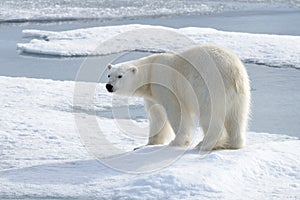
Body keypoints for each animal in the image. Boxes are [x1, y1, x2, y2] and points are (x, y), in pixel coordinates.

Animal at [105, 45, 251, 151]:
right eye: (109, 75)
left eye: (120, 76)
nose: (108, 86)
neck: (150, 71)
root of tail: (233, 72)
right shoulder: (152, 94)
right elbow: (157, 115)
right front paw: (146, 145)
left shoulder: (165, 84)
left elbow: (175, 111)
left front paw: (176, 142)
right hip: (241, 93)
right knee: (237, 116)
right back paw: (234, 143)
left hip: (208, 86)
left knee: (209, 114)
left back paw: (204, 144)